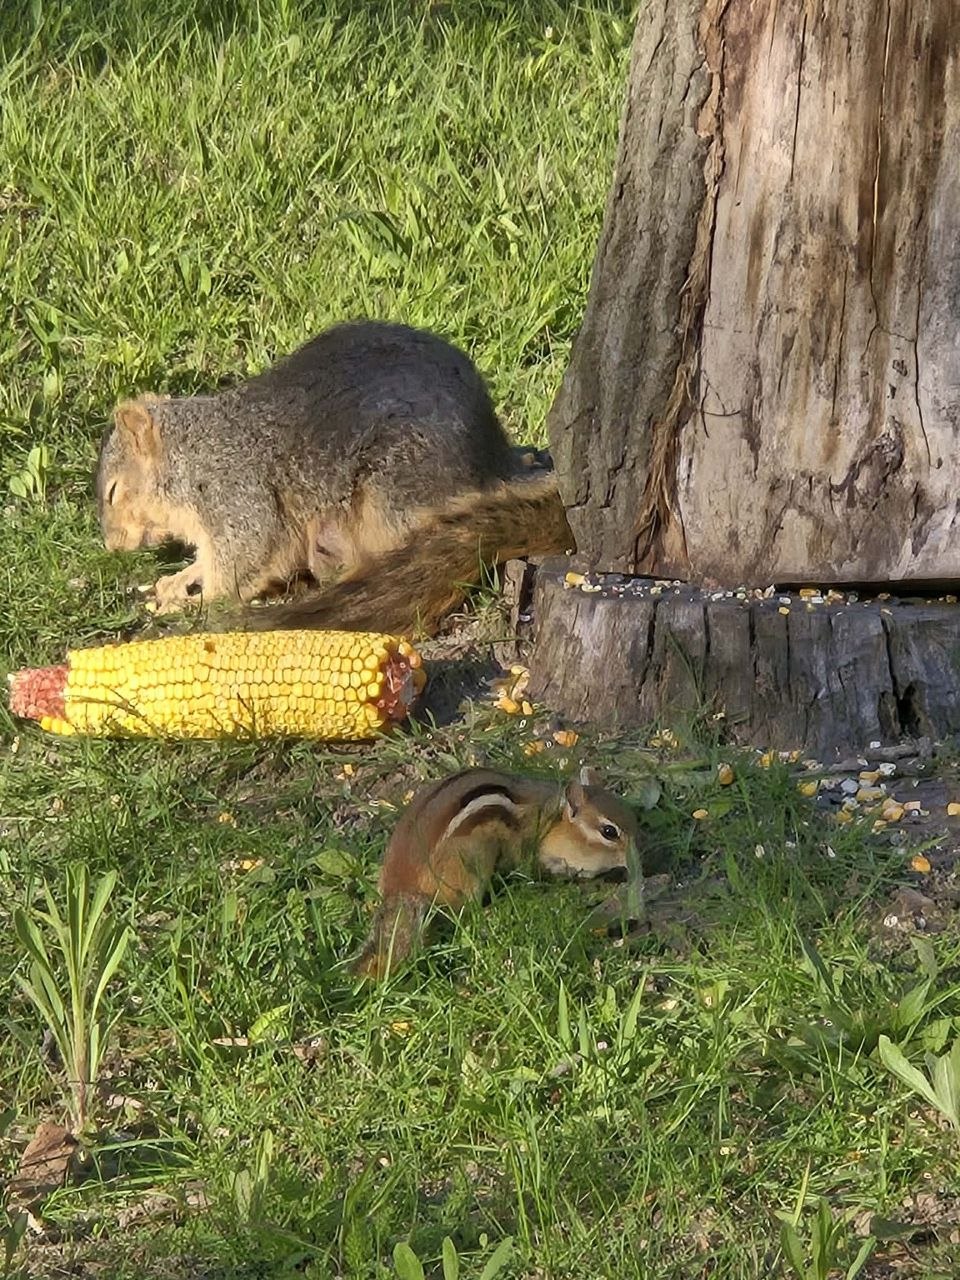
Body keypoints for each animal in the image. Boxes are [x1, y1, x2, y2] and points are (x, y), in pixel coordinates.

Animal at [96, 319, 572, 626]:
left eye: (114, 491)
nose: (113, 546)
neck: (193, 453)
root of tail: (496, 460)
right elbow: (206, 561)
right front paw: (176, 581)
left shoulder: (237, 493)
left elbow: (245, 560)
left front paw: (196, 604)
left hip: (394, 493)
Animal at [353, 765, 640, 980]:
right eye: (609, 832)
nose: (636, 860)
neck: (551, 820)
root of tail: (401, 887)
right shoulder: (528, 852)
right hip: (473, 862)